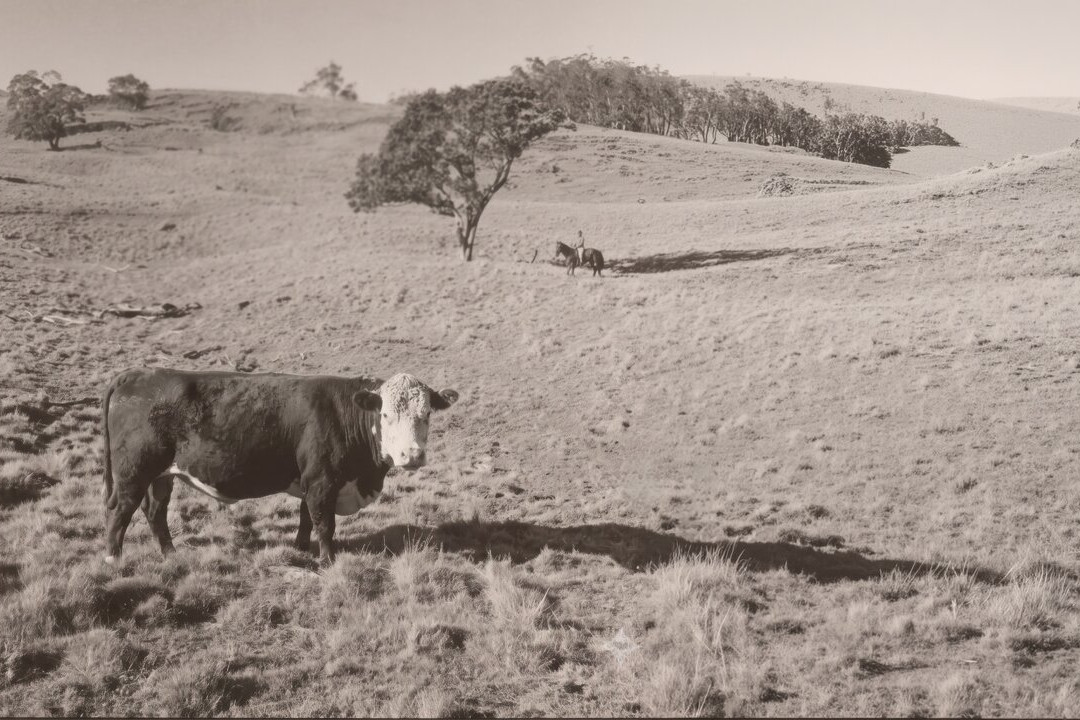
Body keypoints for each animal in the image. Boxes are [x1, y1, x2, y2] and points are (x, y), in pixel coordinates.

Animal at [101, 368, 459, 565]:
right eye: (385, 415)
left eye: (427, 414)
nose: (411, 455)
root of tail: (135, 374)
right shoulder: (322, 482)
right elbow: (324, 524)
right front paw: (328, 560)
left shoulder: (310, 482)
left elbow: (305, 518)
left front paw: (300, 548)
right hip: (133, 472)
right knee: (120, 512)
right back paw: (113, 558)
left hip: (161, 475)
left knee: (155, 512)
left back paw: (170, 553)